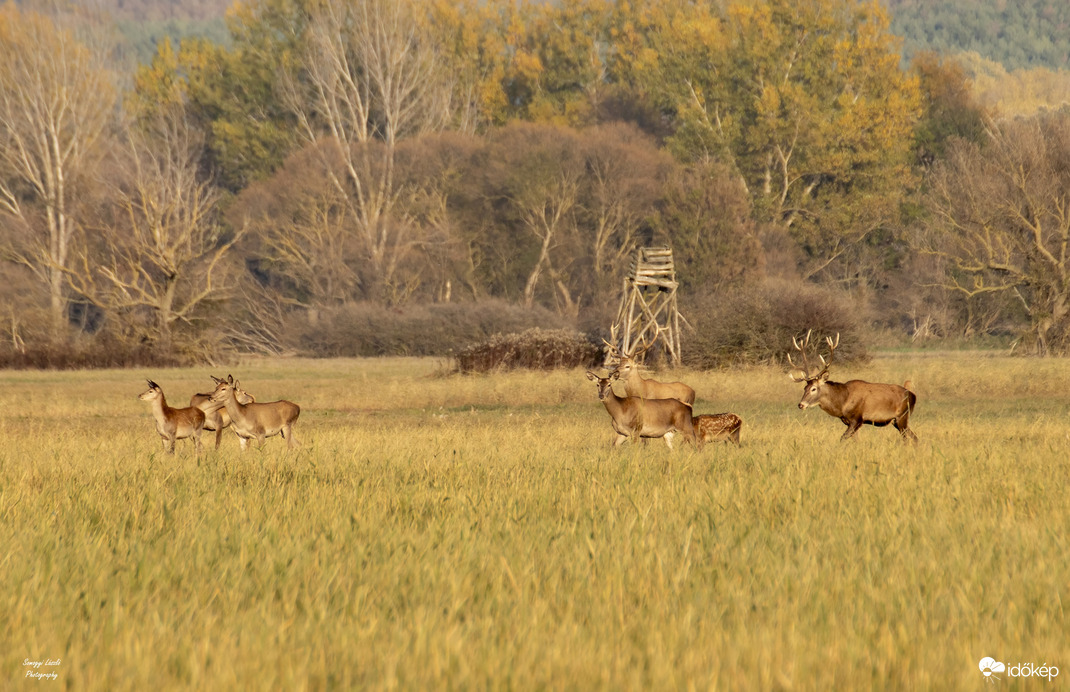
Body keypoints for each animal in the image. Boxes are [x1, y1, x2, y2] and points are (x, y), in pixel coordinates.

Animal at [787, 331, 920, 444]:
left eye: (814, 388)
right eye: (805, 388)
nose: (801, 404)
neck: (842, 403)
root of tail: (913, 395)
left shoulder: (857, 419)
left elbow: (842, 439)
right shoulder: (849, 422)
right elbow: (856, 441)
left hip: (902, 417)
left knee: (909, 439)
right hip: (897, 421)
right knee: (915, 438)